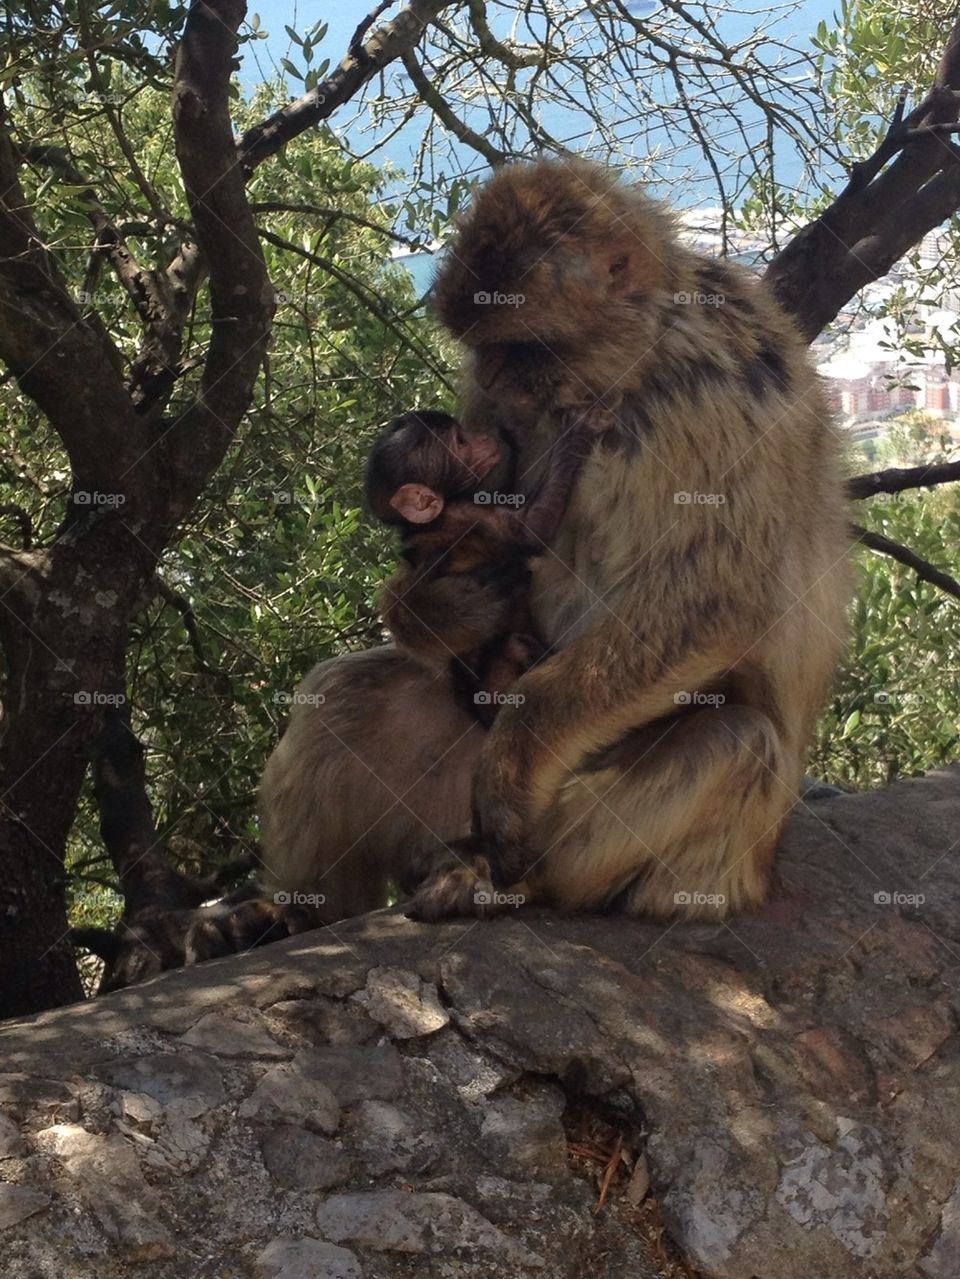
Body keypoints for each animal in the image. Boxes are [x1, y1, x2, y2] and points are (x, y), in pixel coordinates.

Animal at [366, 407, 611, 725]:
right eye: (460, 441)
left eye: (464, 432)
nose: (481, 437)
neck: (428, 523)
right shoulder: (472, 517)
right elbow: (531, 529)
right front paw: (575, 436)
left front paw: (512, 430)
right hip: (497, 689)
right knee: (515, 645)